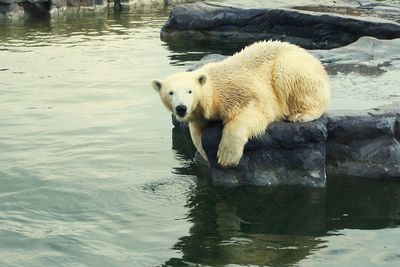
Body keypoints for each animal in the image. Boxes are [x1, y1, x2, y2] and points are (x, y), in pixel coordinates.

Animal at [152, 40, 330, 168]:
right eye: (170, 93)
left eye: (189, 91)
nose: (181, 108)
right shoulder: (198, 114)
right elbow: (196, 131)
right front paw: (203, 154)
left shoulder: (237, 91)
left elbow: (256, 111)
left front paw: (226, 157)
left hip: (294, 69)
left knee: (288, 74)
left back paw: (301, 115)